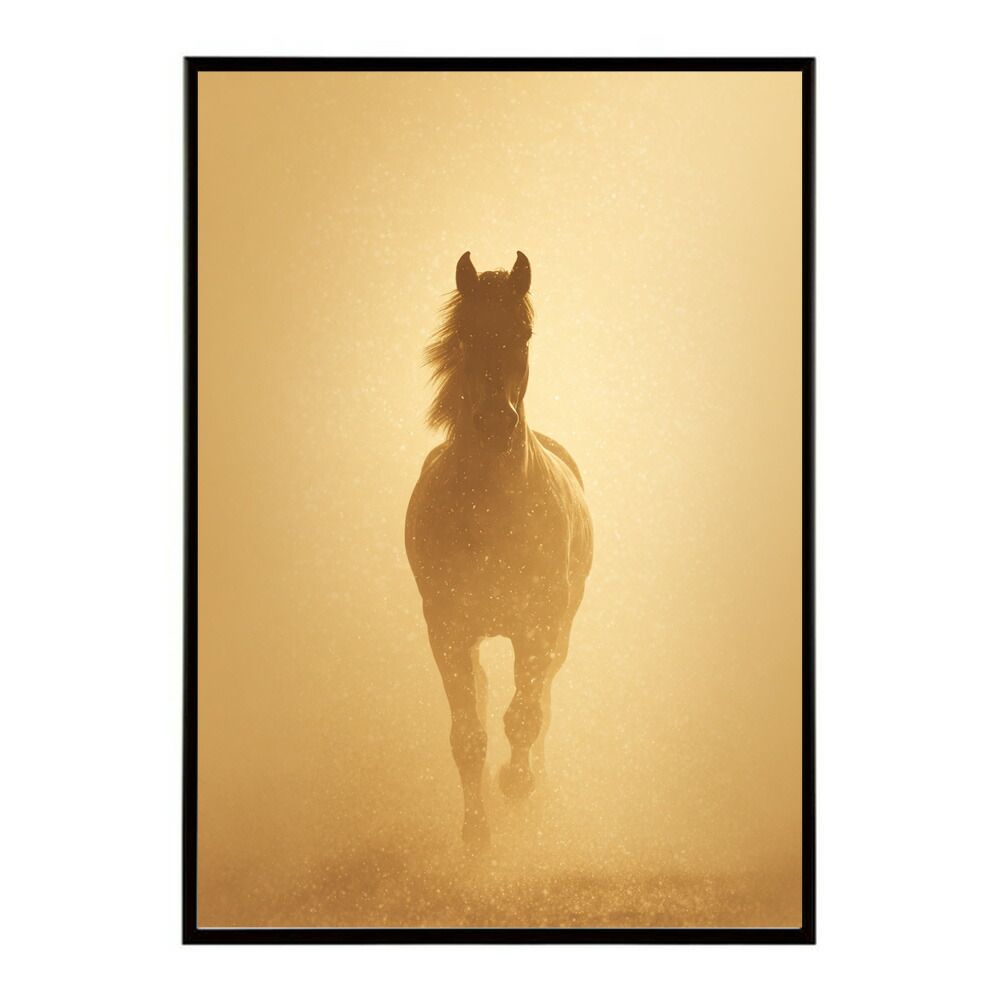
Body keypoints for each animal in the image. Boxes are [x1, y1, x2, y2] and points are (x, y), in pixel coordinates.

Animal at [405, 251, 593, 848]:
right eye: (465, 334)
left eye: (524, 333)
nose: (493, 422)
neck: (490, 513)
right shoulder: (447, 630)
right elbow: (469, 734)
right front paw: (476, 835)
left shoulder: (537, 625)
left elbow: (525, 716)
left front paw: (516, 782)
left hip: (559, 630)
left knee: (542, 700)